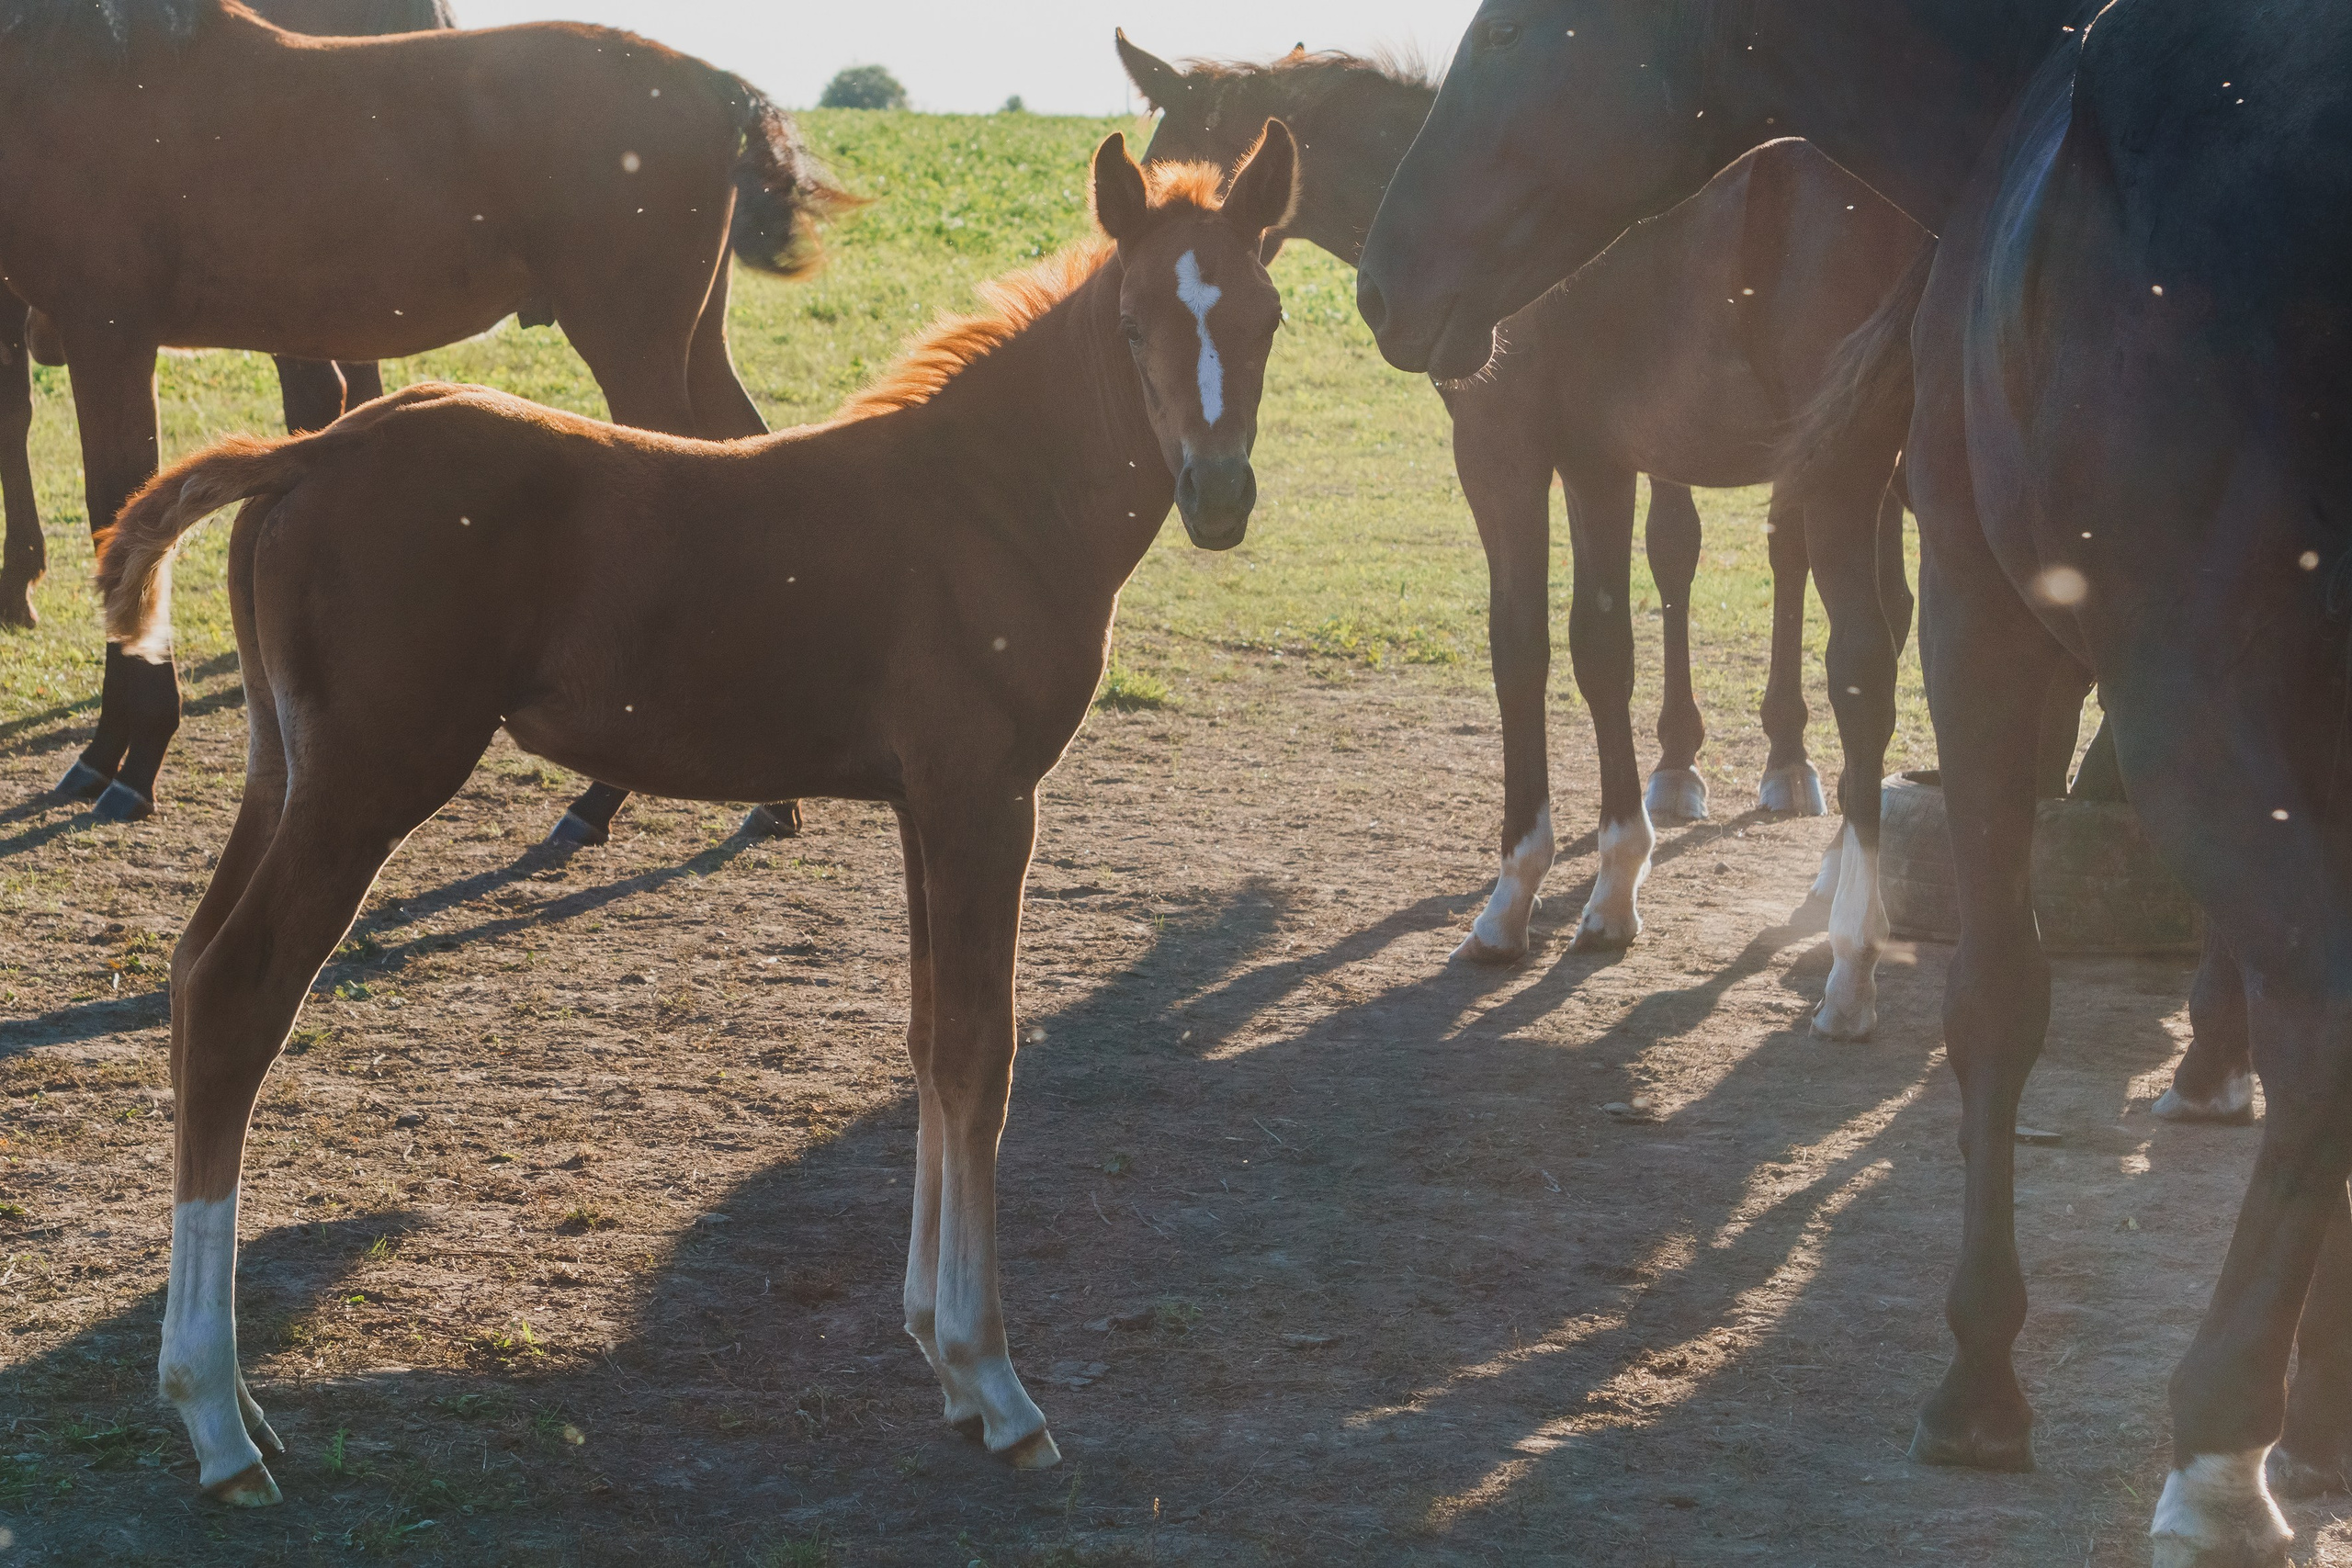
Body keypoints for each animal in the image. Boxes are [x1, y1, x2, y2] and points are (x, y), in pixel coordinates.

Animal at [94, 124, 1298, 1504]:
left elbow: (927, 1043)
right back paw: (215, 1420)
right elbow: (979, 1056)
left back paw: (231, 1394)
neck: (988, 500)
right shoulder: (984, 798)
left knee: (189, 976)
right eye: (1136, 318)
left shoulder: (924, 806)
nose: (1219, 495)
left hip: (280, 770)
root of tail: (313, 449)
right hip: (367, 780)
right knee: (237, 998)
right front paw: (994, 1381)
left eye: (1265, 313)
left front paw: (938, 1355)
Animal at [1120, 34, 1920, 1032]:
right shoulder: (1598, 462)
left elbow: (1523, 647)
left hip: (1846, 469)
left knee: (1861, 664)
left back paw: (1850, 954)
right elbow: (1605, 648)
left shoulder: (1502, 453)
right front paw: (1615, 886)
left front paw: (1515, 897)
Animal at [1356, 2, 2352, 1560]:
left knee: (2317, 1019)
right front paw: (2323, 1419)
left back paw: (2216, 1454)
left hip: (2193, 700)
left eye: (1514, 26)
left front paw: (1982, 1375)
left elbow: (1997, 999)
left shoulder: (1989, 626)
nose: (1385, 278)